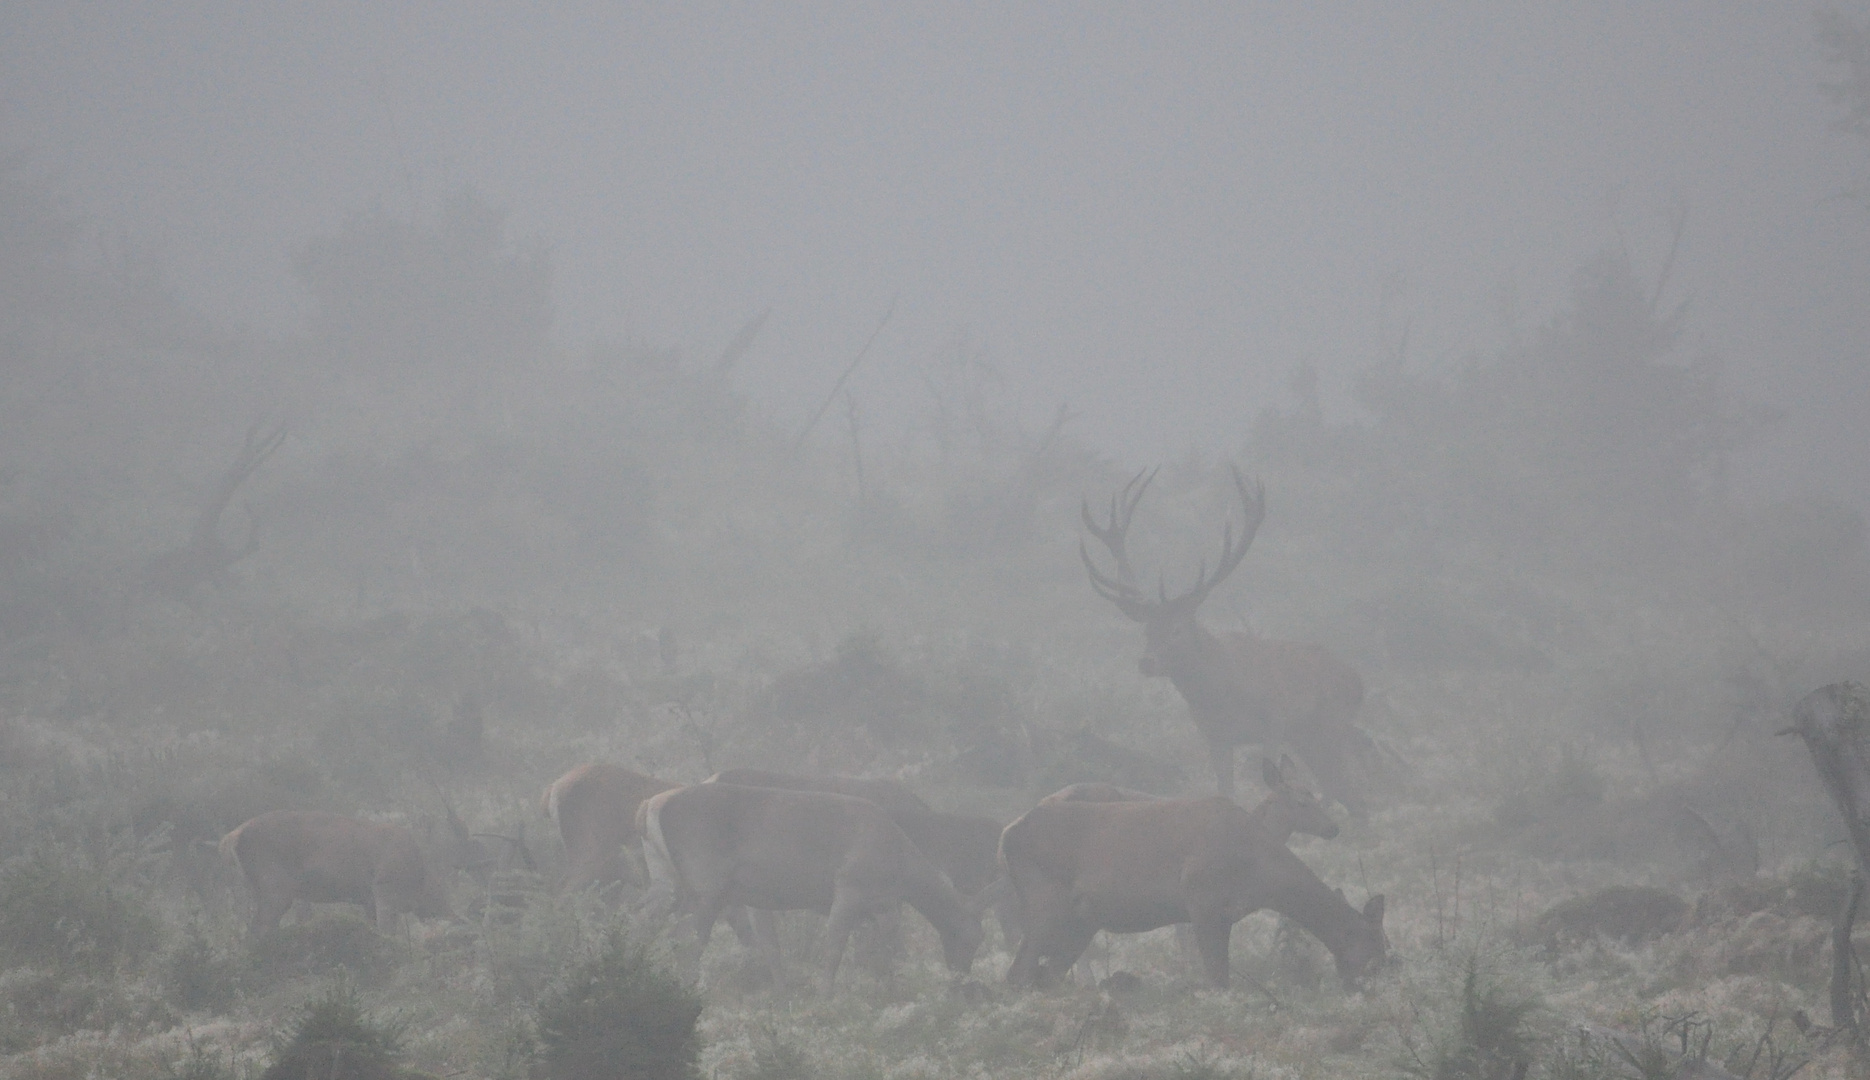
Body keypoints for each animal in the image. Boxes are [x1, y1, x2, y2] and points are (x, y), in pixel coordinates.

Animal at [220, 807, 465, 934]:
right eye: (439, 895)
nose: (456, 918)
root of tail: (230, 839)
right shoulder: (384, 889)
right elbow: (387, 931)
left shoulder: (368, 900)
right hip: (276, 887)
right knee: (259, 928)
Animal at [639, 777, 987, 986]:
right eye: (973, 938)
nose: (963, 979)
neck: (902, 864)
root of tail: (648, 808)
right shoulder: (850, 887)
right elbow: (835, 949)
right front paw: (824, 995)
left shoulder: (880, 905)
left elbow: (881, 952)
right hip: (705, 884)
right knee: (687, 940)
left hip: (665, 880)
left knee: (646, 922)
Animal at [1002, 792, 1383, 986]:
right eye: (1375, 943)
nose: (1384, 976)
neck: (1260, 872)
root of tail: (1008, 834)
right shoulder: (1201, 898)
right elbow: (1216, 976)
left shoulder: (1224, 913)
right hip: (1045, 902)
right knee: (1019, 974)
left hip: (1082, 922)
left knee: (1047, 975)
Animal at [1077, 467, 1368, 810]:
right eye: (1147, 630)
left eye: (1177, 628)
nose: (1147, 662)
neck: (1220, 694)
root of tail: (1358, 681)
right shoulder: (1215, 736)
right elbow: (1225, 790)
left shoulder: (1274, 720)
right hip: (1308, 737)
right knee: (1345, 791)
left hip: (1333, 723)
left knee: (1350, 788)